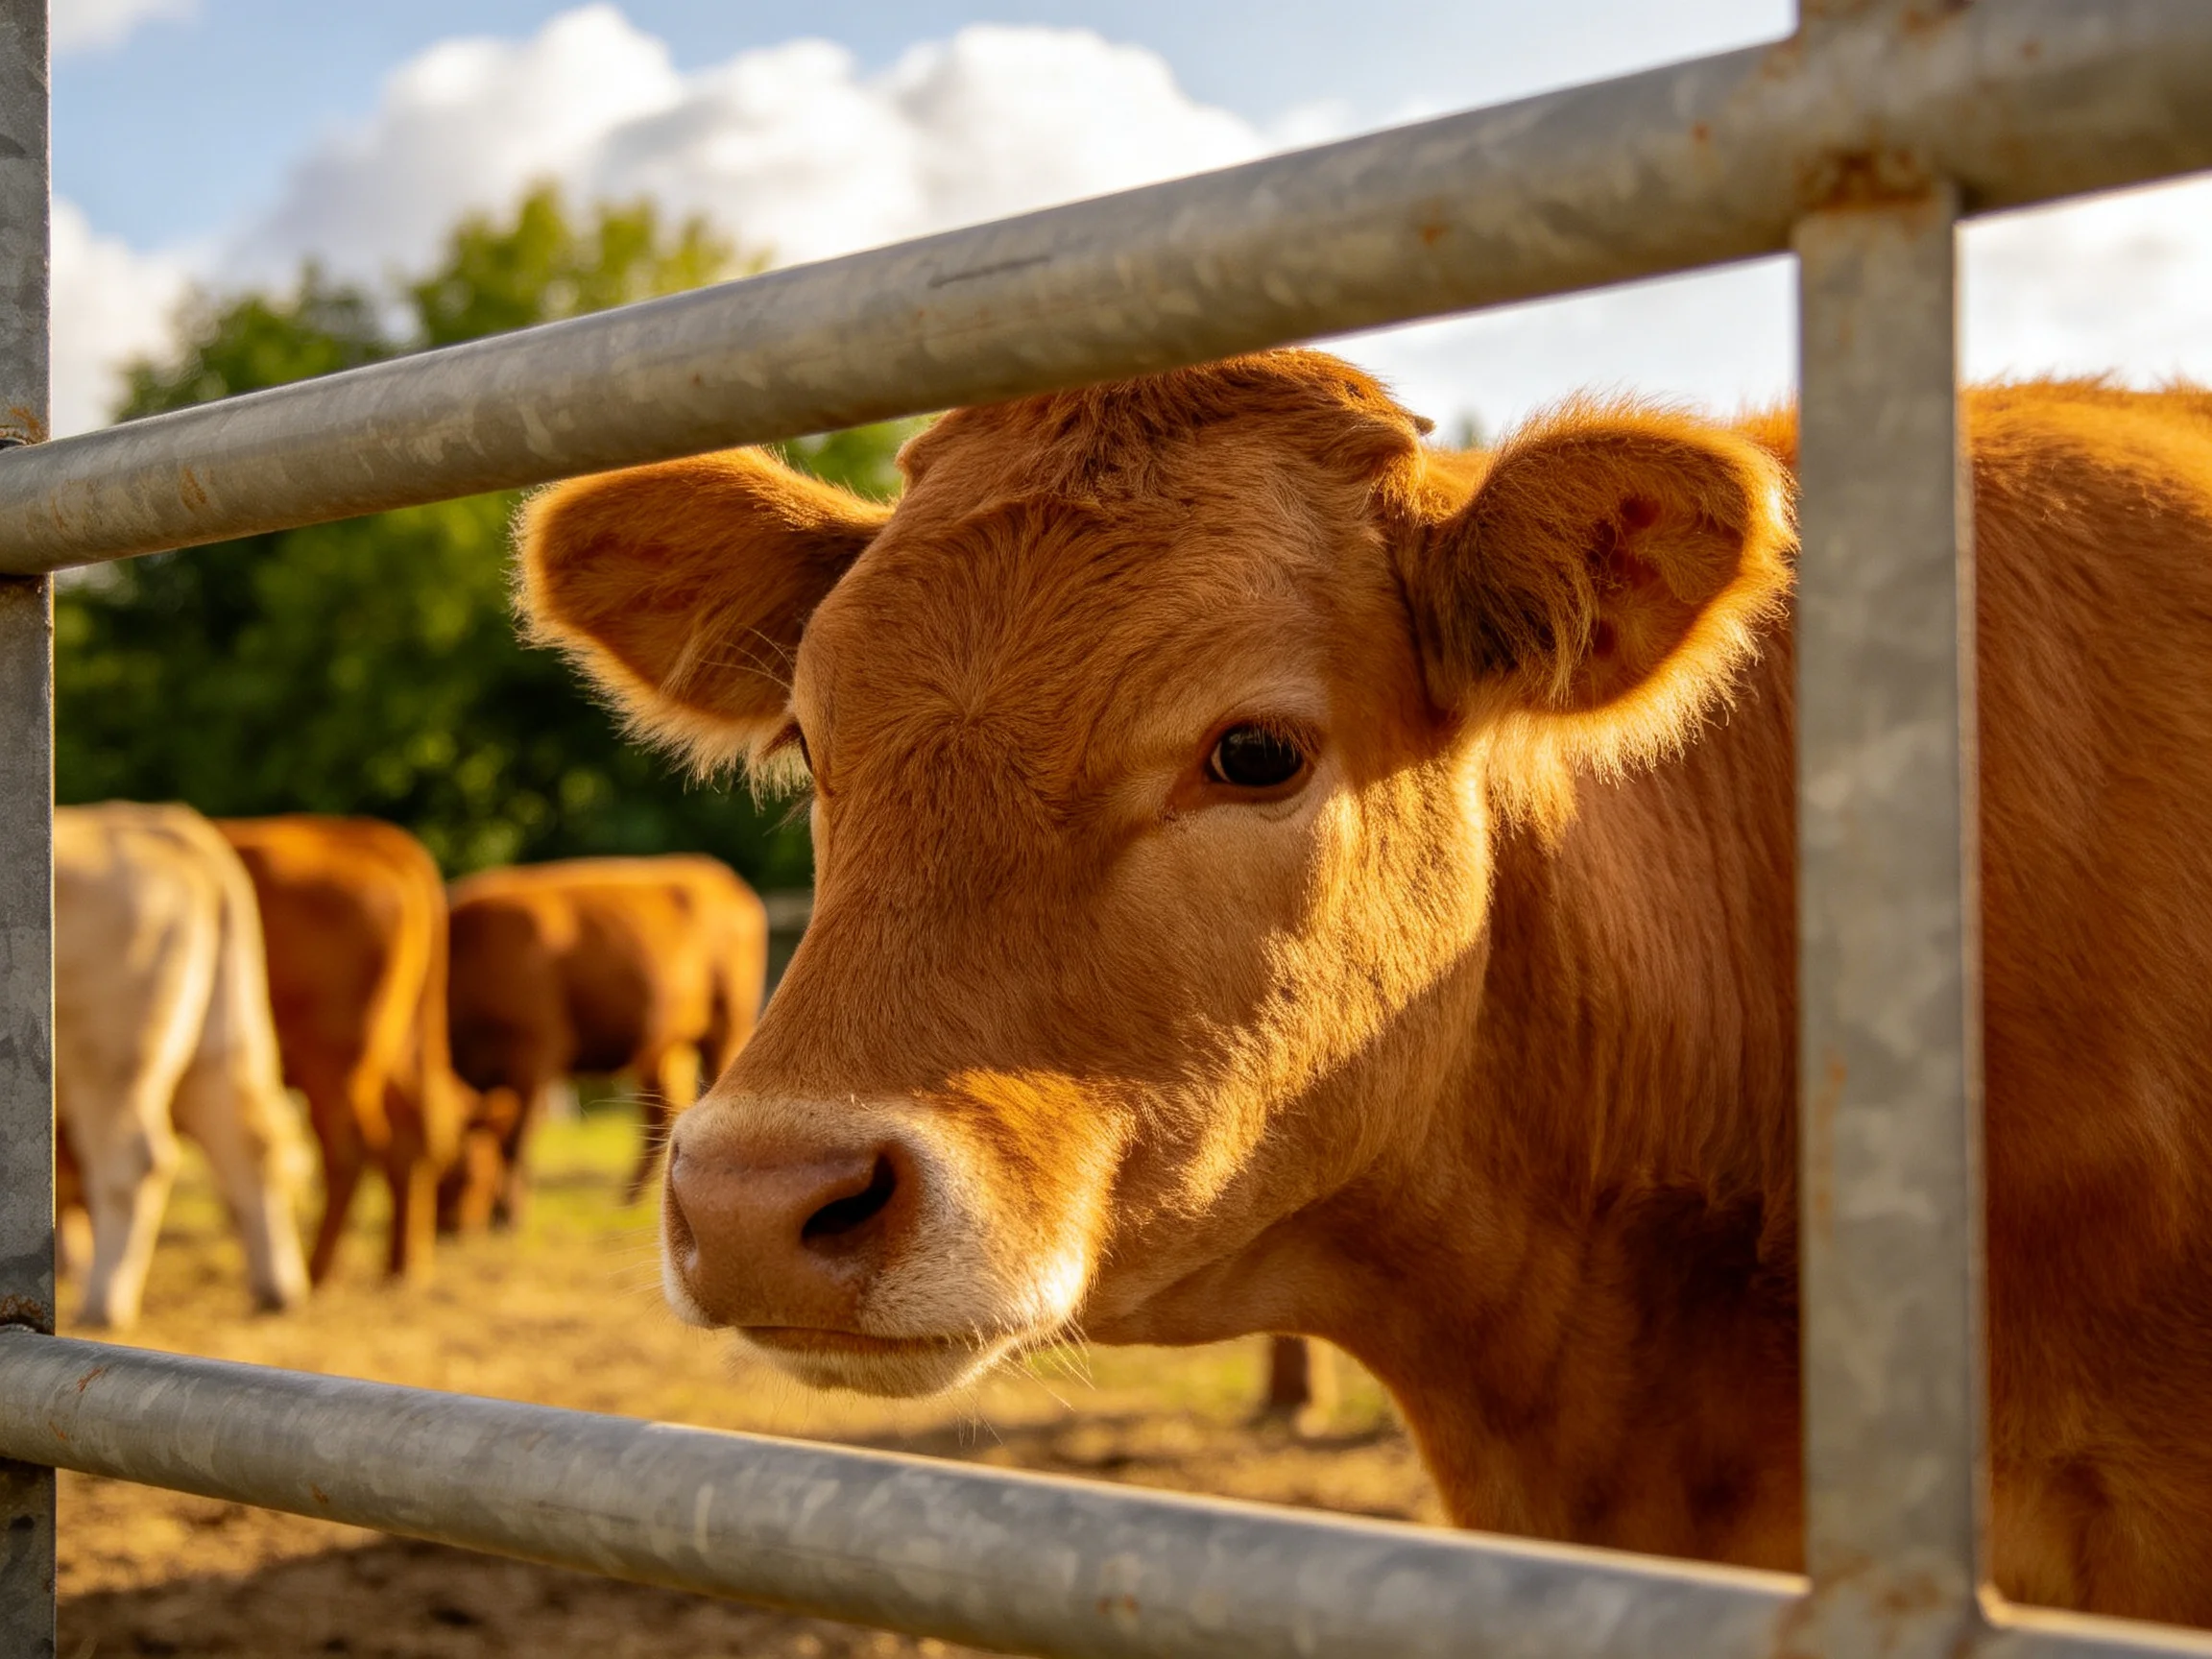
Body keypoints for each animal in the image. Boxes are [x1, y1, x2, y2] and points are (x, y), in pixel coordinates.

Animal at [54, 802, 312, 1327]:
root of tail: (165, 822)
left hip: (112, 1052)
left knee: (133, 1163)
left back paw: (102, 1303)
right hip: (218, 1045)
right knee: (251, 1145)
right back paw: (276, 1291)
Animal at [216, 815, 471, 1283]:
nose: (461, 1225)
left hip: (336, 1059)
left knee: (350, 1148)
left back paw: (317, 1270)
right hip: (387, 1050)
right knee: (411, 1127)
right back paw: (401, 1263)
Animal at [443, 855, 768, 1226]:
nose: (447, 1224)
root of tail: (719, 877)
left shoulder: (536, 1054)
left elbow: (516, 1139)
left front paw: (508, 1214)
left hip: (727, 1025)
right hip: (664, 1048)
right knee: (664, 1114)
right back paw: (629, 1201)